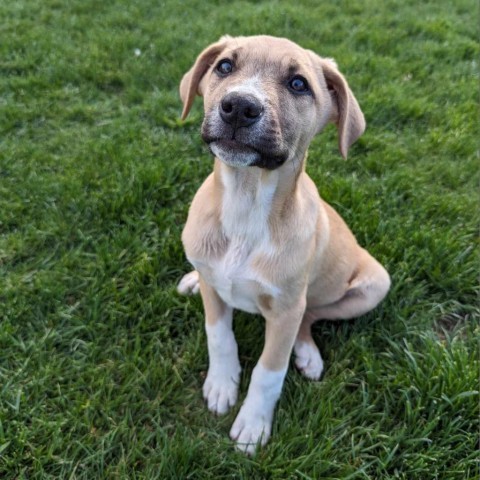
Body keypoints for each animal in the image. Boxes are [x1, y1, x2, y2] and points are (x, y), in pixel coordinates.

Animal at [176, 35, 390, 456]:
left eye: (297, 84)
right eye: (225, 66)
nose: (239, 107)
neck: (245, 205)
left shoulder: (287, 308)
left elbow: (269, 370)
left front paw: (253, 424)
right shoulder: (216, 291)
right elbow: (218, 335)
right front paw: (222, 384)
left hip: (373, 285)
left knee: (312, 315)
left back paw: (307, 354)